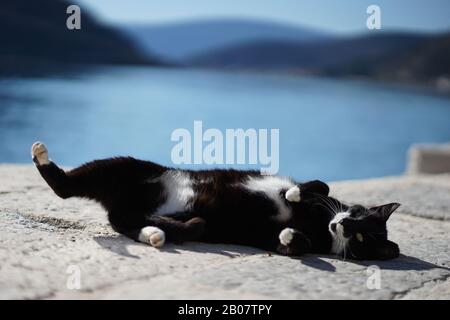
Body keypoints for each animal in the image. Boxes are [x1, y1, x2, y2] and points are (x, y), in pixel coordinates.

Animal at [29, 142, 400, 260]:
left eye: (361, 236)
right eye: (356, 212)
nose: (343, 223)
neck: (318, 223)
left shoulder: (270, 239)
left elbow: (296, 245)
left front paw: (291, 235)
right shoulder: (317, 196)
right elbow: (317, 185)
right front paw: (294, 193)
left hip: (136, 209)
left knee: (131, 223)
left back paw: (157, 233)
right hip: (125, 166)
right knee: (65, 187)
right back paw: (41, 154)